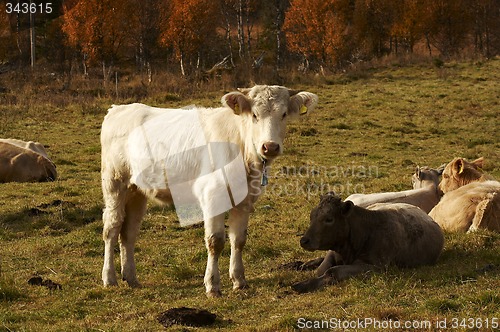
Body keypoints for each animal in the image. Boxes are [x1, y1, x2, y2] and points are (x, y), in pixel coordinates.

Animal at [101, 85, 318, 296]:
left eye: (283, 114)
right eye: (255, 115)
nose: (270, 147)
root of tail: (119, 109)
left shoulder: (245, 200)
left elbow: (239, 240)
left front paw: (239, 280)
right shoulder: (213, 196)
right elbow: (215, 242)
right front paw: (212, 285)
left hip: (137, 191)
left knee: (128, 232)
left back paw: (131, 277)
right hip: (114, 184)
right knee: (112, 228)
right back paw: (109, 278)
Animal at [292, 192, 446, 294]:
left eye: (329, 219)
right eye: (311, 216)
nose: (304, 240)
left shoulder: (375, 267)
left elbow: (332, 271)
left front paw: (303, 285)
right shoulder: (333, 252)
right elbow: (322, 268)